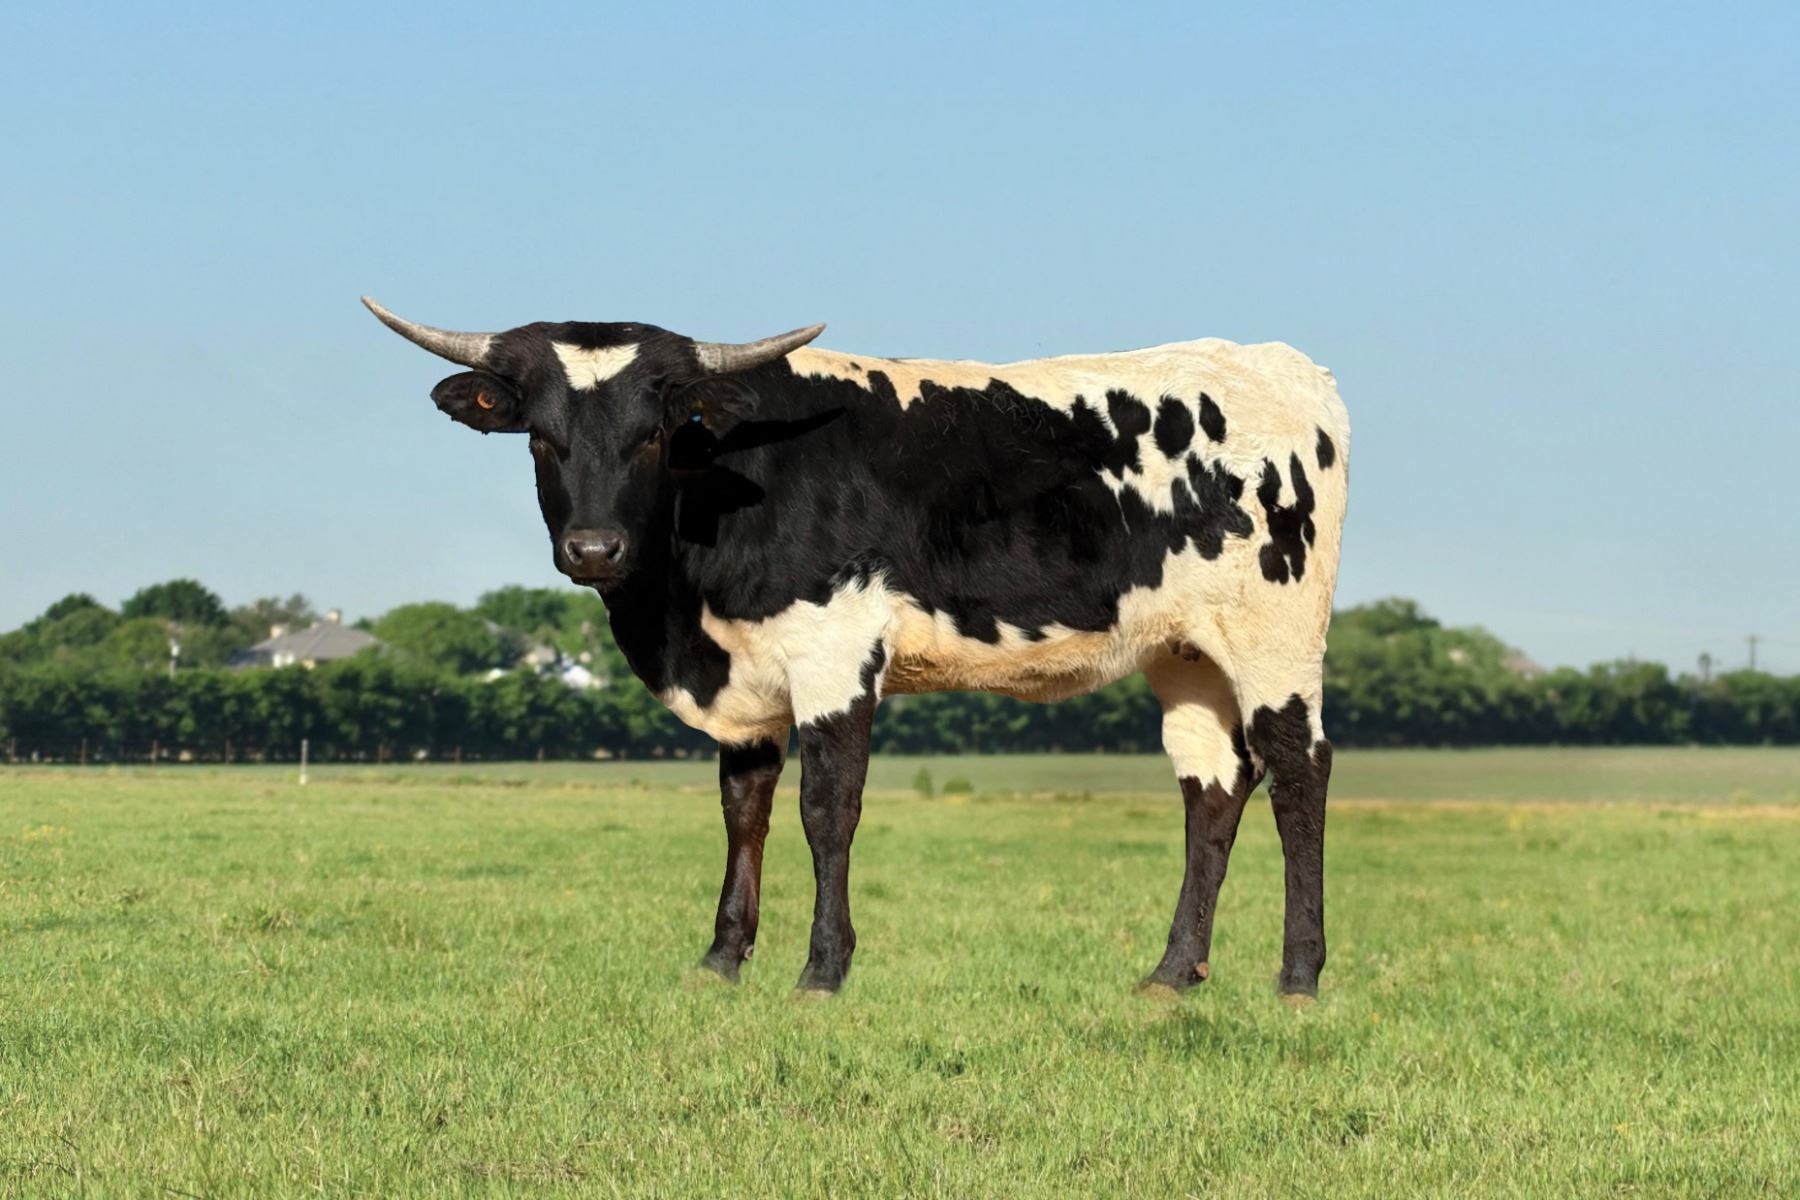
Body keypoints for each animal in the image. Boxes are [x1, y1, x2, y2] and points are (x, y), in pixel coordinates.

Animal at [364, 297, 1350, 1001]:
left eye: (656, 435)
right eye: (542, 435)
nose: (594, 549)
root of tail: (1282, 365)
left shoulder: (833, 653)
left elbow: (825, 809)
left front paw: (822, 970)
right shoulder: (748, 690)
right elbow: (745, 811)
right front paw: (722, 960)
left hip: (1276, 637)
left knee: (1298, 770)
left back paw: (1298, 975)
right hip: (1185, 653)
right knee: (1213, 787)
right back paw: (1173, 974)